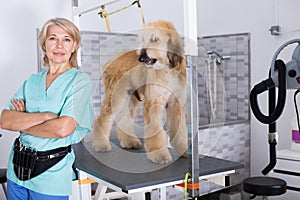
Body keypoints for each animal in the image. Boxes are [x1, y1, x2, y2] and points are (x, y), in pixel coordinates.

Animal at [92, 20, 189, 164]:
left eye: (154, 39)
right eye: (143, 39)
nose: (141, 58)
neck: (167, 69)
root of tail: (111, 60)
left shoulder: (175, 104)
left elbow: (180, 129)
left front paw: (184, 151)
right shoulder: (154, 102)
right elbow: (155, 130)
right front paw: (159, 154)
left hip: (132, 98)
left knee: (124, 120)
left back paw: (129, 141)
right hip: (116, 95)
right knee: (103, 118)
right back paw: (101, 144)